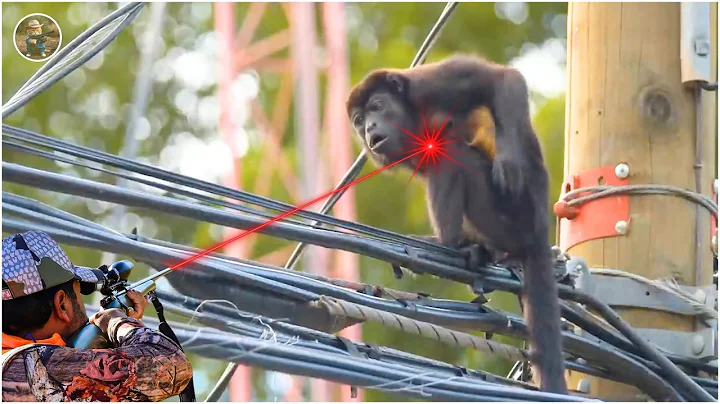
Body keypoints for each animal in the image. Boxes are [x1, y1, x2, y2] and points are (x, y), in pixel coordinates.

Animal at [345, 54, 567, 394]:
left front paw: (507, 159)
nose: (368, 126)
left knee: (452, 151)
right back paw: (476, 250)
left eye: (378, 106)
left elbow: (501, 78)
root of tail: (539, 231)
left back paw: (446, 242)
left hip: (512, 217)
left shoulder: (428, 85)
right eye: (359, 120)